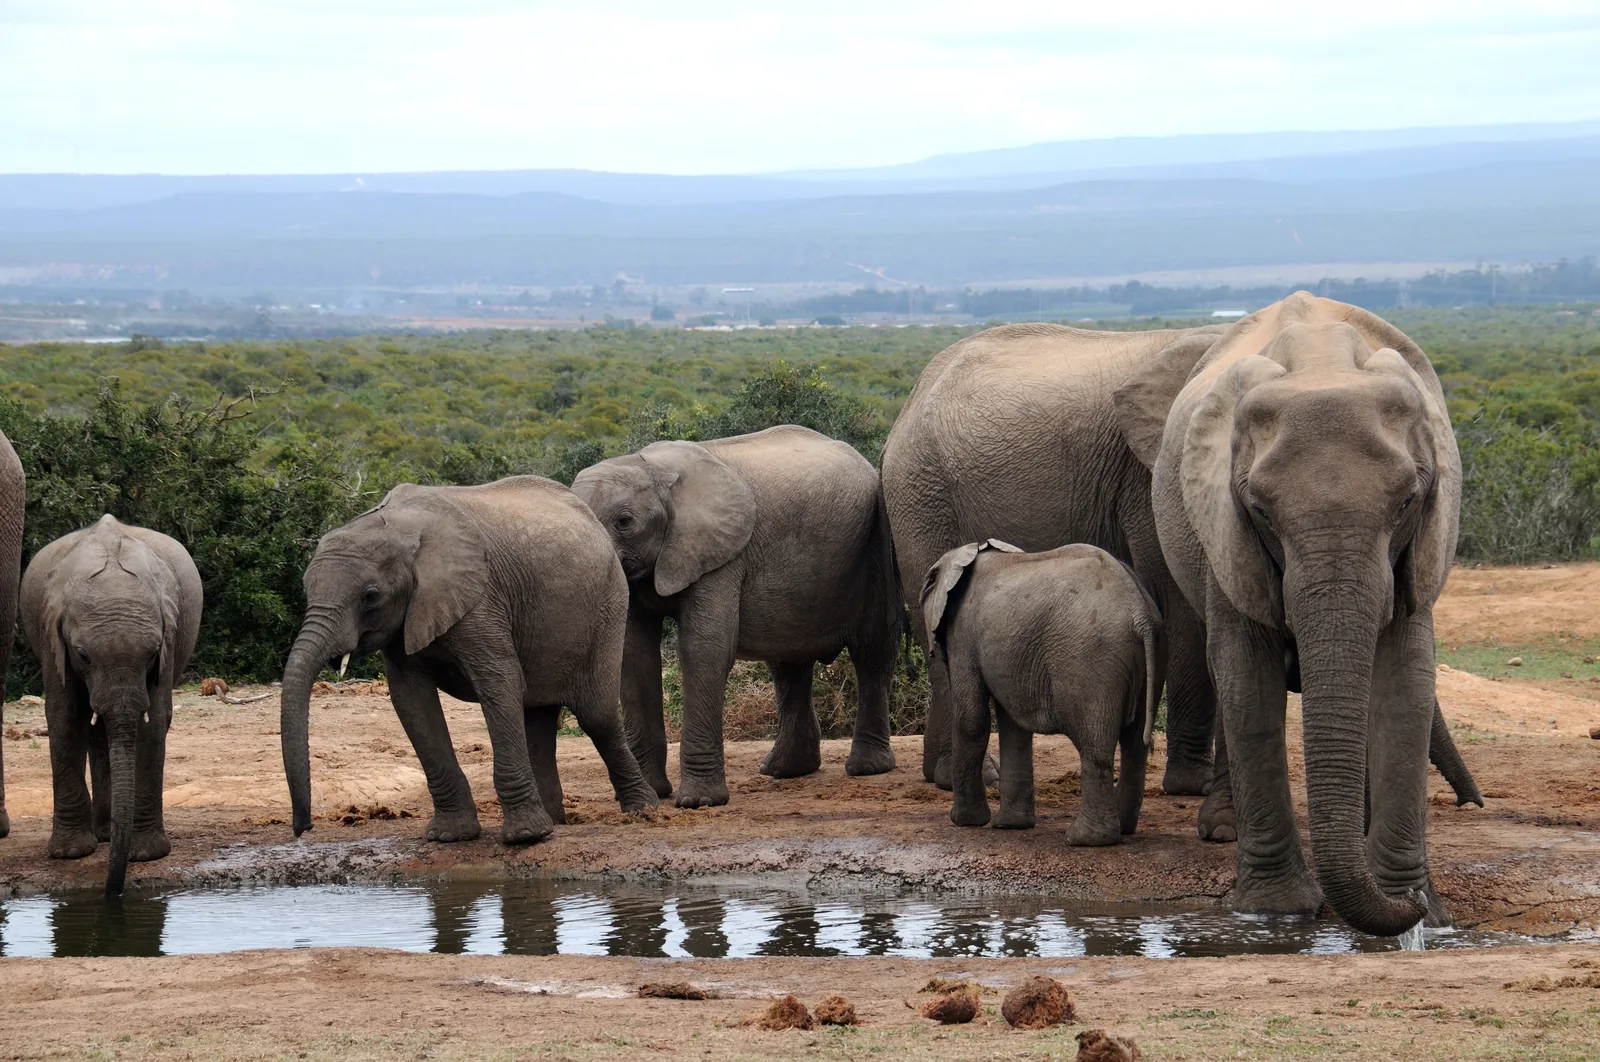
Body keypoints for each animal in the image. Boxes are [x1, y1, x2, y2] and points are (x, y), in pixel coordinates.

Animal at [19, 515, 202, 895]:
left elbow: (153, 722)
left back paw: (109, 833)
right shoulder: (51, 637)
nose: (111, 893)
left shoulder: (170, 637)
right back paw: (104, 834)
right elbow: (66, 718)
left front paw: (144, 855)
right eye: (83, 655)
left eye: (152, 654)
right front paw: (71, 853)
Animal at [279, 475, 658, 844]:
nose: (303, 828)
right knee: (538, 716)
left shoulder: (481, 600)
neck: (397, 529)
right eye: (306, 588)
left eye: (370, 597)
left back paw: (643, 810)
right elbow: (411, 701)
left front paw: (524, 837)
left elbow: (500, 682)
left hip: (609, 604)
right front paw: (450, 836)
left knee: (597, 717)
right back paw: (555, 822)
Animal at [571, 425, 899, 809]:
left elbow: (704, 649)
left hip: (875, 543)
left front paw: (698, 802)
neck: (652, 470)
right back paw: (785, 770)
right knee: (788, 662)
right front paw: (654, 793)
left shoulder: (722, 553)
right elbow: (635, 656)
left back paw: (867, 768)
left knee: (872, 650)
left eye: (624, 522)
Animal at [923, 540, 1164, 845]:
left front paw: (964, 822)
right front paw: (1010, 826)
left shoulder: (962, 634)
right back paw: (1123, 828)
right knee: (1134, 743)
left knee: (1094, 741)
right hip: (1150, 651)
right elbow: (1013, 727)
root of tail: (1140, 613)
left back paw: (1083, 839)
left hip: (1091, 660)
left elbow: (971, 720)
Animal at [1115, 291, 1459, 935]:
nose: (1411, 908)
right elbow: (1249, 682)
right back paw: (1224, 828)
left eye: (1407, 502)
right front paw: (1276, 911)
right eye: (1259, 510)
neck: (1323, 362)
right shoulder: (1224, 528)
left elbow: (1406, 682)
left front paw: (1420, 910)